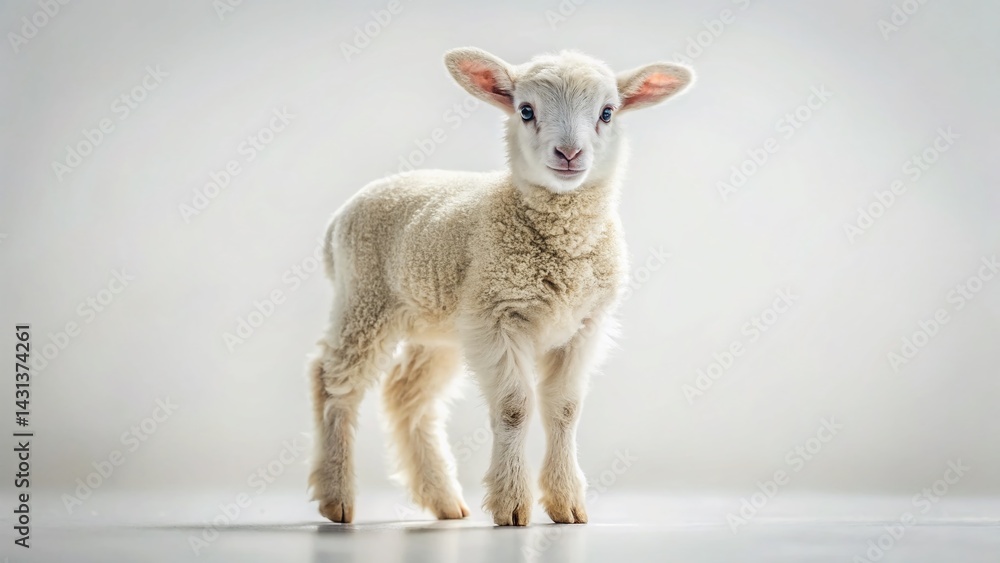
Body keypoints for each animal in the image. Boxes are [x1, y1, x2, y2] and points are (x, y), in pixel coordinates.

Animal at [307, 47, 693, 526]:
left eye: (607, 112)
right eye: (526, 111)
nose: (569, 152)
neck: (562, 243)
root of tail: (339, 219)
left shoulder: (584, 325)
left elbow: (565, 409)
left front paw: (567, 503)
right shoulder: (498, 316)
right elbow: (514, 408)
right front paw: (512, 503)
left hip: (438, 326)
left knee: (406, 395)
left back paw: (444, 500)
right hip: (365, 299)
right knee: (332, 382)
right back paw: (337, 497)